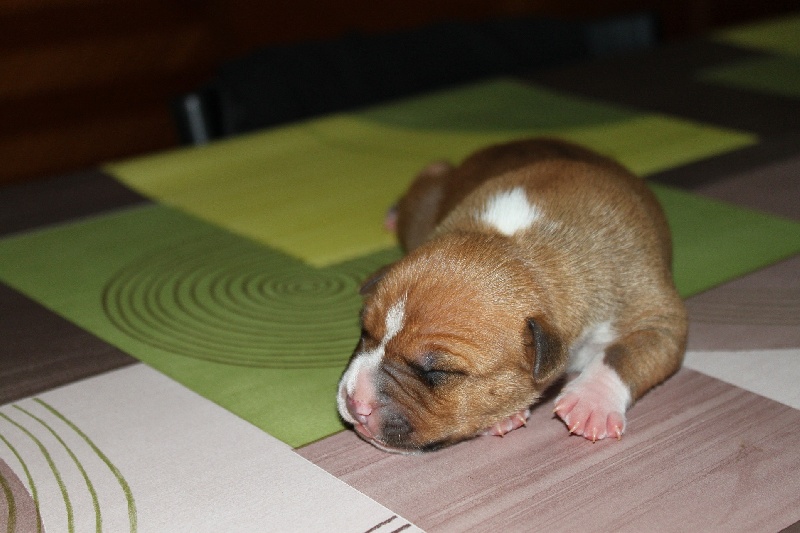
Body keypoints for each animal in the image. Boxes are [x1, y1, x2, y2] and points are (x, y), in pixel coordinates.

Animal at [337, 138, 687, 453]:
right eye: (364, 332)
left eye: (439, 372)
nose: (356, 402)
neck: (518, 246)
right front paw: (504, 416)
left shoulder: (659, 316)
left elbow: (624, 351)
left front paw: (591, 401)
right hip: (425, 207)